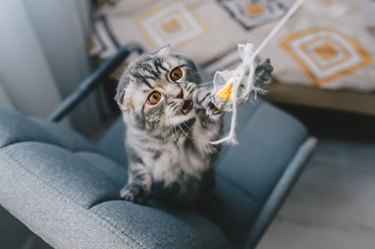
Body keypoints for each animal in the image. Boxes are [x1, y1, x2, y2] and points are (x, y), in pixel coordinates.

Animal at [115, 45, 274, 205]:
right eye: (154, 98)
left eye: (176, 74)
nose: (178, 93)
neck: (168, 137)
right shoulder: (133, 147)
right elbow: (138, 170)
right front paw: (134, 190)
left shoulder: (198, 162)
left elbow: (206, 134)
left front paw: (206, 108)